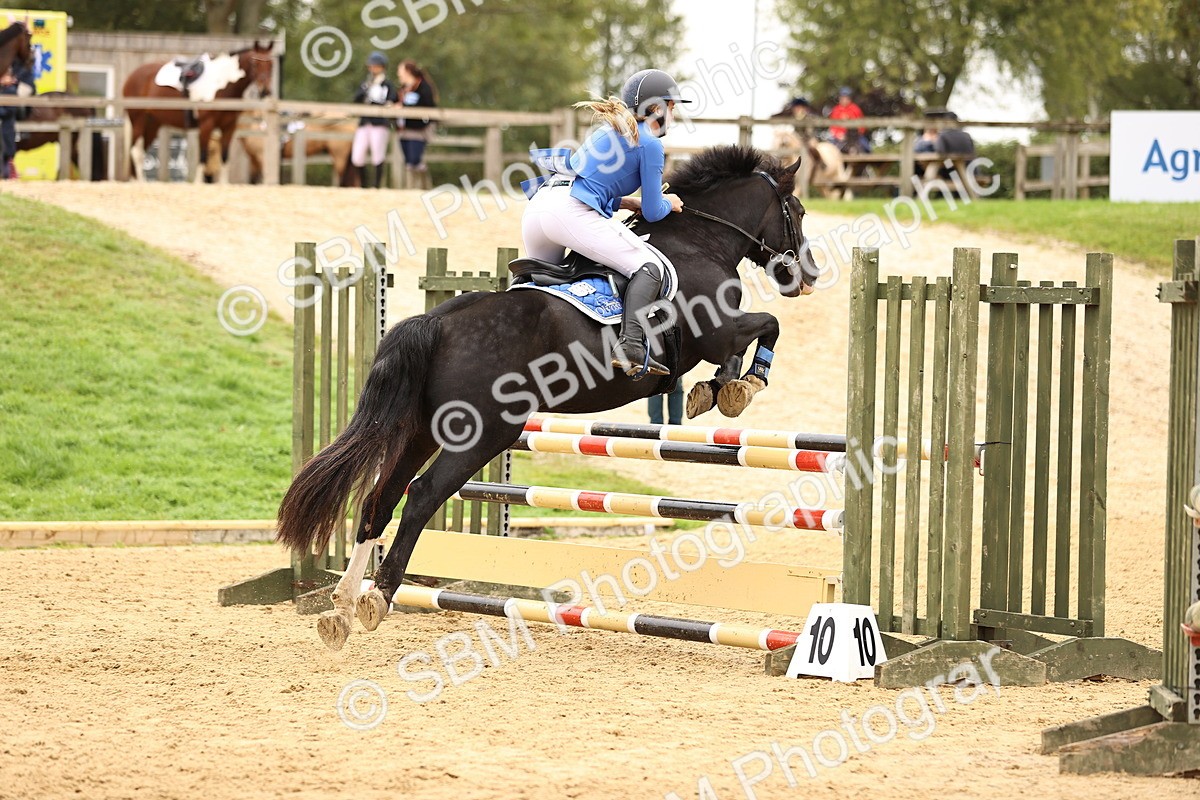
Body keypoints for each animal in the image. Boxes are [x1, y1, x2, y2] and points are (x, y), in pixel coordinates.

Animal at [122, 41, 273, 183]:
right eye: (255, 63)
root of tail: (131, 76)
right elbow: (203, 155)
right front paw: (198, 182)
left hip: (152, 124)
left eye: (271, 64)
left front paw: (224, 184)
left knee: (141, 151)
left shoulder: (229, 127)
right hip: (138, 120)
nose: (265, 91)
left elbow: (224, 156)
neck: (222, 84)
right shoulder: (206, 125)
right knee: (135, 151)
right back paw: (141, 181)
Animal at [274, 144, 822, 651]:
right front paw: (741, 386)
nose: (808, 277)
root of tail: (438, 321)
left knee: (380, 498)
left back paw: (342, 606)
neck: (698, 241)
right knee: (422, 496)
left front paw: (717, 389)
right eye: (796, 210)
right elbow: (766, 326)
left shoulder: (719, 336)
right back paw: (378, 596)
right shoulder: (717, 330)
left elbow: (744, 344)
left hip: (423, 429)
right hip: (487, 432)